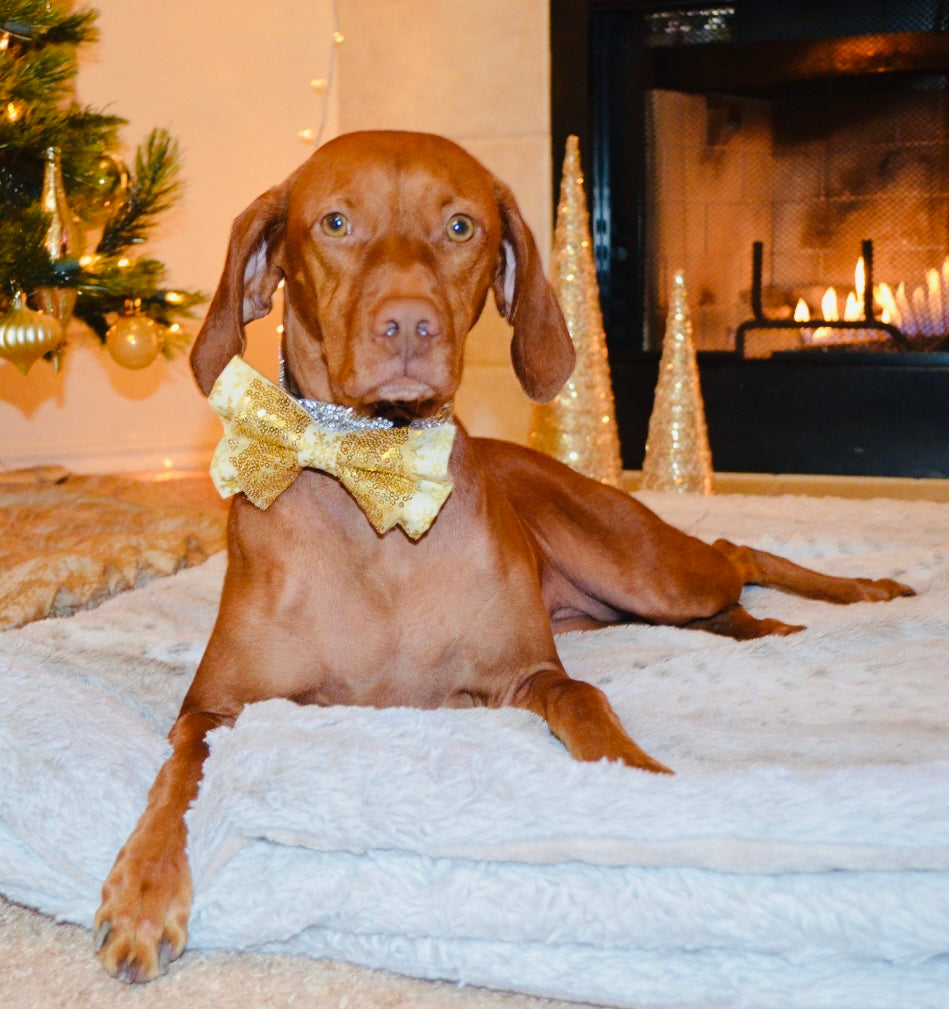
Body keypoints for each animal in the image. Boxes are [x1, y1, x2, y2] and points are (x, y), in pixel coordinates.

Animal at [94, 130, 911, 980]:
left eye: (460, 227)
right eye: (334, 223)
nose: (409, 326)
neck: (378, 495)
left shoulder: (531, 675)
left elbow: (587, 703)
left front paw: (644, 783)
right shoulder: (213, 706)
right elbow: (180, 775)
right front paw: (145, 888)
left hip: (642, 569)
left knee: (732, 551)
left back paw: (856, 591)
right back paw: (762, 626)